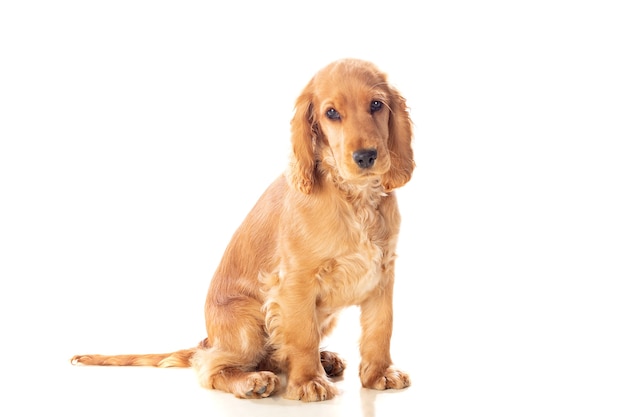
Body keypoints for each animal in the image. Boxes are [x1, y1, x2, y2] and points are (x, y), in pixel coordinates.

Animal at [72, 57, 414, 400]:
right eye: (331, 113)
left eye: (376, 105)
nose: (365, 156)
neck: (355, 198)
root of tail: (210, 338)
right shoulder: (295, 281)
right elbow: (302, 335)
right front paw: (308, 381)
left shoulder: (382, 272)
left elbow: (380, 327)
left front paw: (379, 373)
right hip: (247, 323)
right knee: (210, 364)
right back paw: (253, 380)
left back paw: (325, 359)